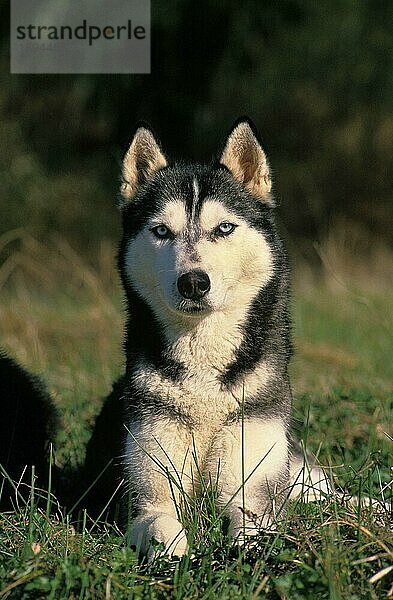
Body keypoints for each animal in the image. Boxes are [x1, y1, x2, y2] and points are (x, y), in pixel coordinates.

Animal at [85, 118, 328, 556]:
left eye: (224, 228)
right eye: (161, 231)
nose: (193, 282)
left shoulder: (252, 488)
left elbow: (250, 525)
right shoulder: (148, 494)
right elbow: (161, 524)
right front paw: (179, 554)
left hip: (295, 471)